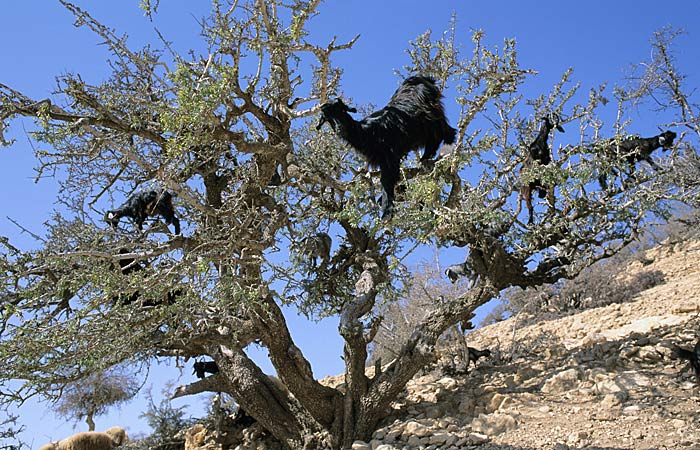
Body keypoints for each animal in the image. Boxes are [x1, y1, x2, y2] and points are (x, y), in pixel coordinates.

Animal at [317, 75, 457, 218]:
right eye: (327, 118)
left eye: (342, 110)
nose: (339, 128)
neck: (366, 132)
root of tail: (421, 78)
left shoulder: (389, 155)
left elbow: (386, 181)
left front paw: (387, 212)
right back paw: (425, 159)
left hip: (431, 113)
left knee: (446, 130)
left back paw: (445, 150)